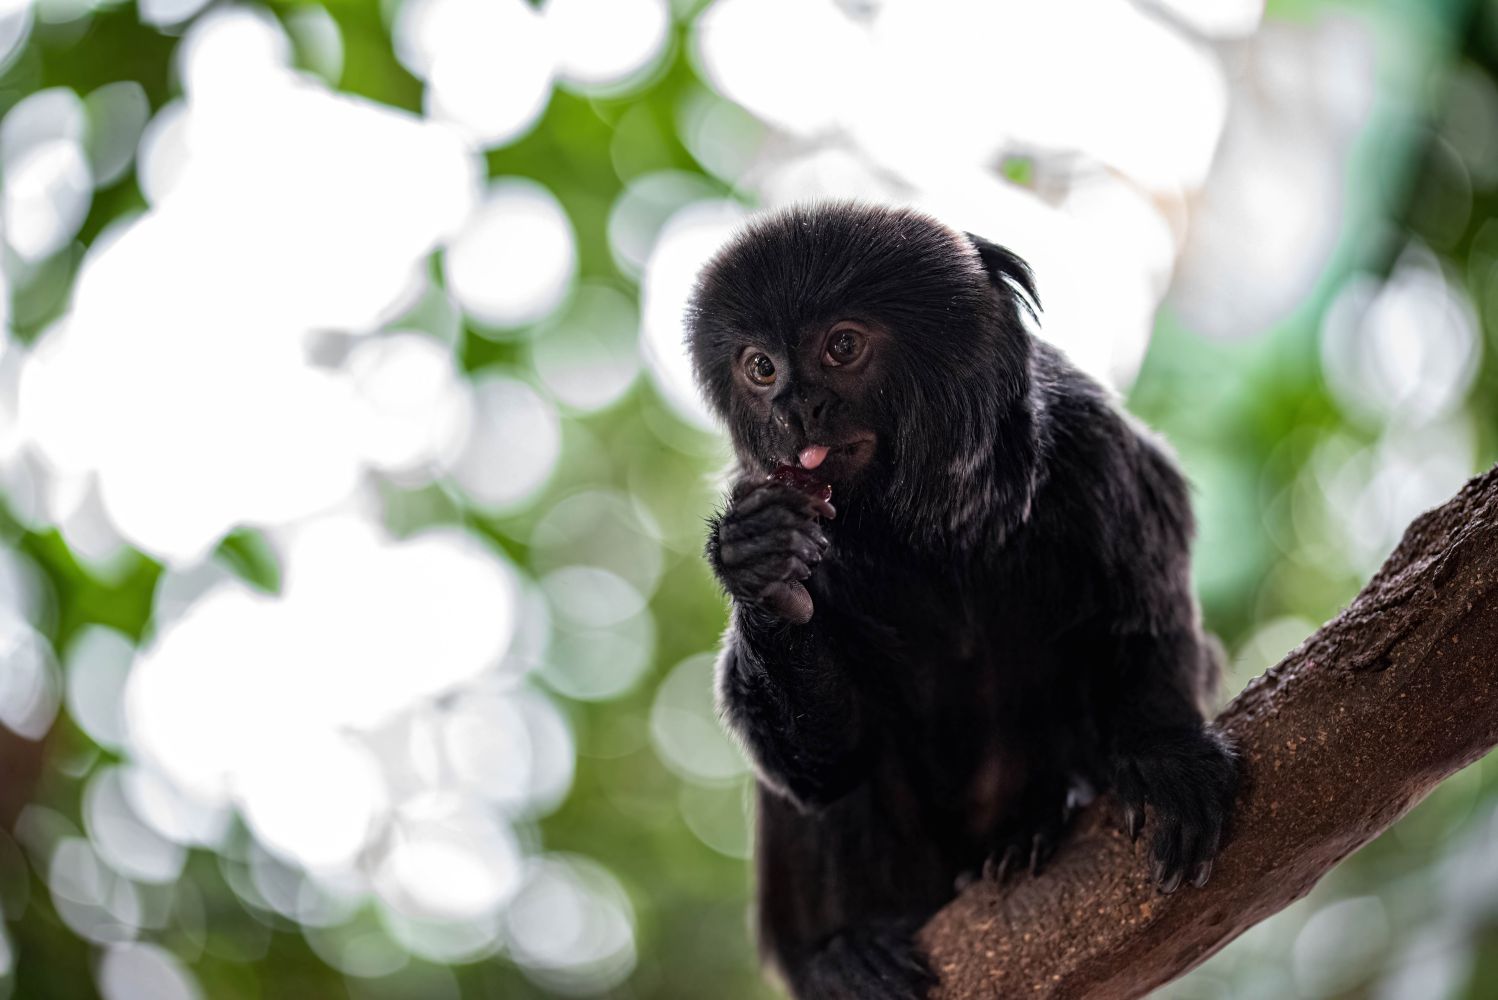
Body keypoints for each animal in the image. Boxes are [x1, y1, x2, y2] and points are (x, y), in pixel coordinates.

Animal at [686, 203, 1234, 999]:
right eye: (761, 367)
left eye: (841, 347)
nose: (795, 408)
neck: (936, 535)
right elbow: (824, 770)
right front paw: (764, 574)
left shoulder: (1096, 448)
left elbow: (1146, 613)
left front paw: (1167, 753)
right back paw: (841, 953)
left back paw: (1038, 824)